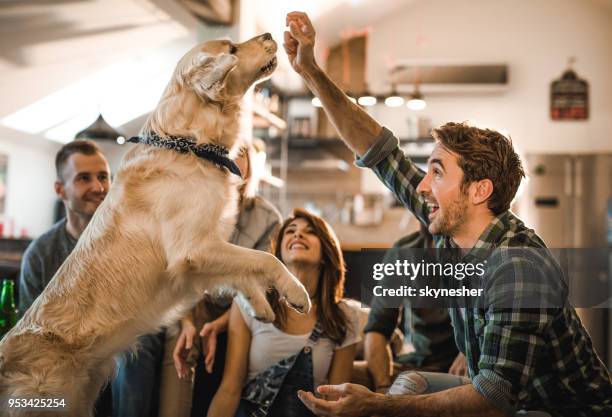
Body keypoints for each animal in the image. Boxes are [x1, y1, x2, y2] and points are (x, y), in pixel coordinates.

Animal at [0, 33, 308, 416]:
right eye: (232, 49)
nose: (268, 35)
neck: (190, 145)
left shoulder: (206, 250)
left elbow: (244, 271)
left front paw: (259, 306)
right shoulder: (193, 250)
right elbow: (265, 259)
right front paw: (297, 292)